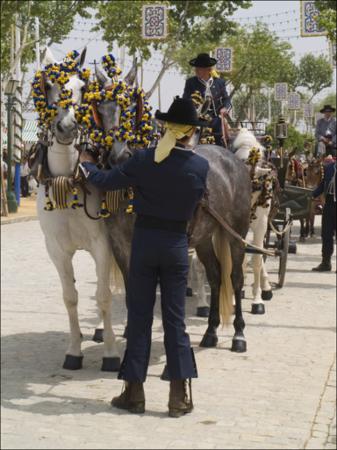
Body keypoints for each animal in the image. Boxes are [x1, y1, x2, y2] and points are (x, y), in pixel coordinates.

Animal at [36, 48, 120, 372]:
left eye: (83, 87)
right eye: (48, 85)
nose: (68, 126)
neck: (68, 178)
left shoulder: (103, 244)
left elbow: (104, 296)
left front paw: (111, 353)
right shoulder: (56, 249)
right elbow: (70, 297)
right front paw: (74, 351)